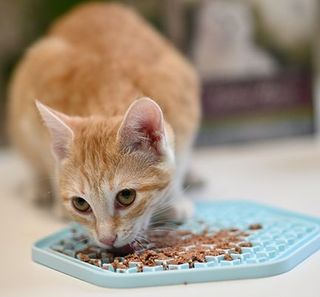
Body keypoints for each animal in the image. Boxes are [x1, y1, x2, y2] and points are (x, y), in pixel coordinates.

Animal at [6, 2, 200, 250]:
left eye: (126, 196)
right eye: (80, 204)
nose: (107, 239)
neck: (111, 86)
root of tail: (92, 6)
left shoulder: (185, 106)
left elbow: (180, 161)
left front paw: (175, 199)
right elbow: (49, 161)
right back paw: (36, 187)